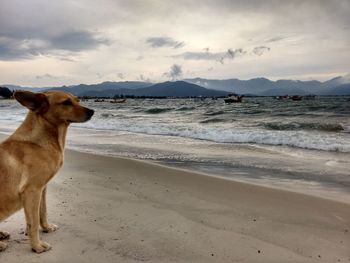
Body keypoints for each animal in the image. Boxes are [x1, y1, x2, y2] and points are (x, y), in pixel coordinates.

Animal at [0, 91, 94, 254]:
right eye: (66, 103)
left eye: (77, 100)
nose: (92, 111)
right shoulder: (32, 191)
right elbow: (33, 223)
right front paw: (37, 246)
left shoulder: (42, 189)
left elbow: (42, 212)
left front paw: (46, 228)